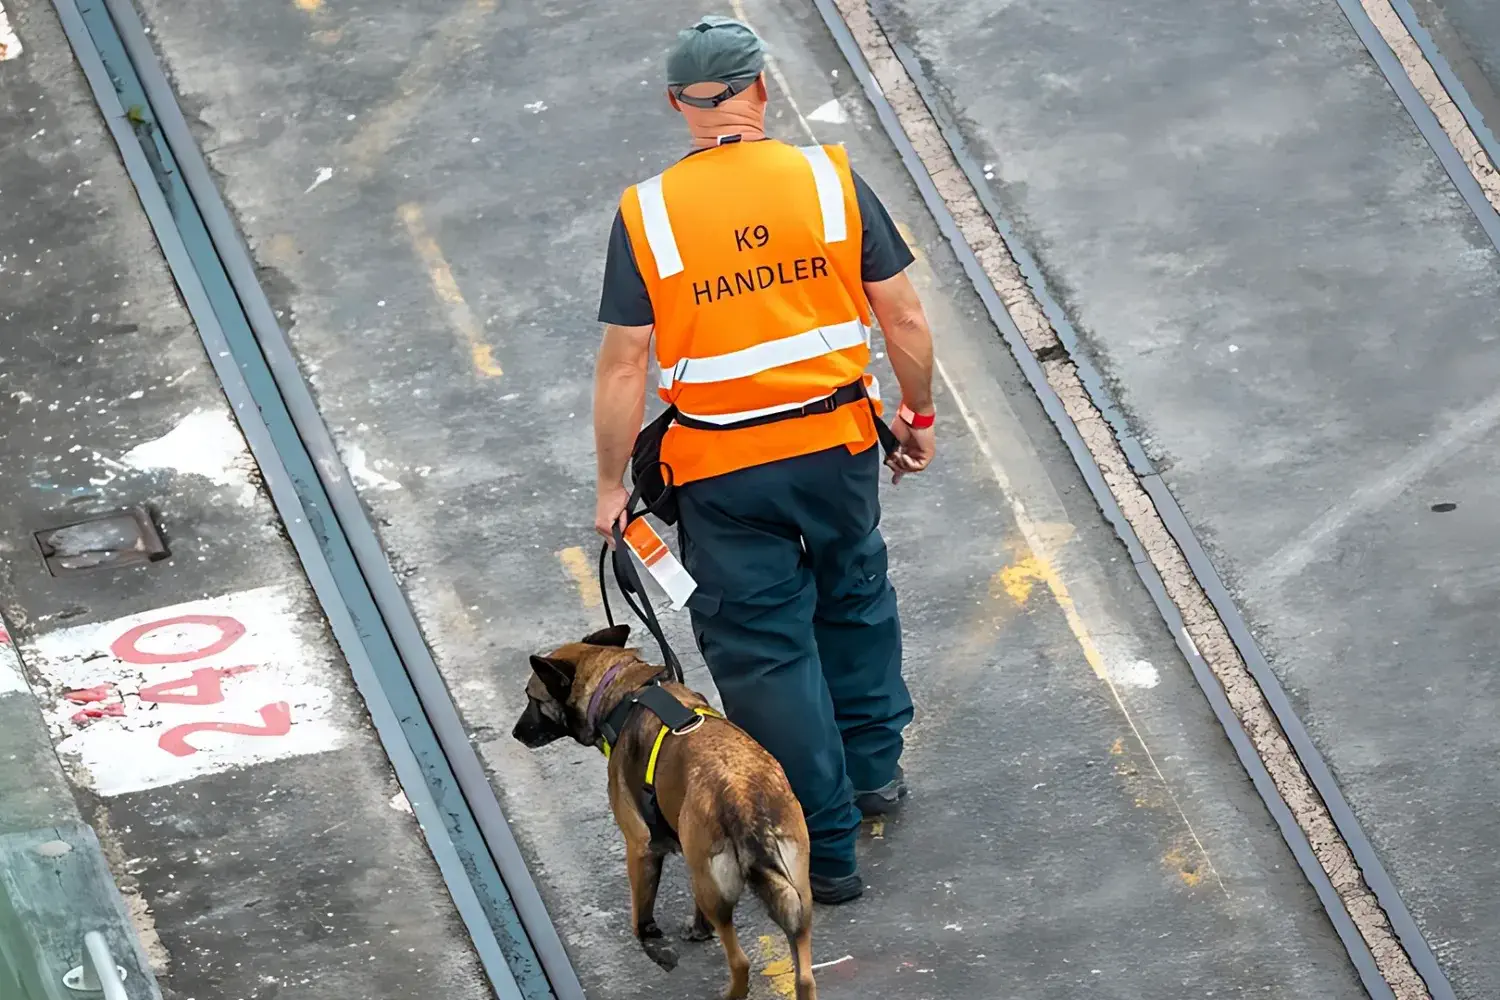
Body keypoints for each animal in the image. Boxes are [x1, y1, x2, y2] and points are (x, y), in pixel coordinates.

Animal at [516, 626, 822, 1000]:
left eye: (532, 698)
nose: (515, 733)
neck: (622, 690)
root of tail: (743, 799)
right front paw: (697, 930)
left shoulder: (639, 848)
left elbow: (641, 913)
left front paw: (652, 942)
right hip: (795, 895)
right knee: (804, 975)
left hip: (718, 894)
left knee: (740, 962)